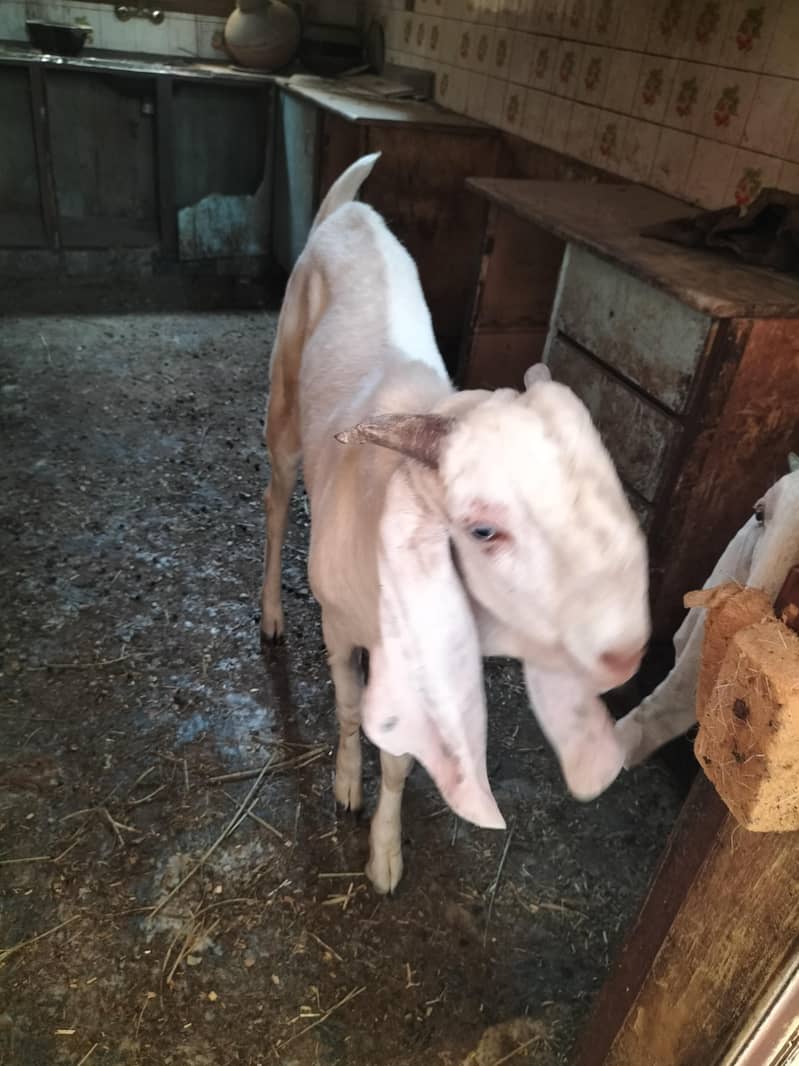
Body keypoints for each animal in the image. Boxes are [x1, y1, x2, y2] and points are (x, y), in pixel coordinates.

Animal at [260, 153, 650, 893]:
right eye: (483, 529)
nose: (624, 654)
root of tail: (348, 209)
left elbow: (399, 758)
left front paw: (385, 849)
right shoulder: (335, 625)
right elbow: (350, 711)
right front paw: (347, 788)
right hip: (283, 399)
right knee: (272, 504)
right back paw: (269, 612)